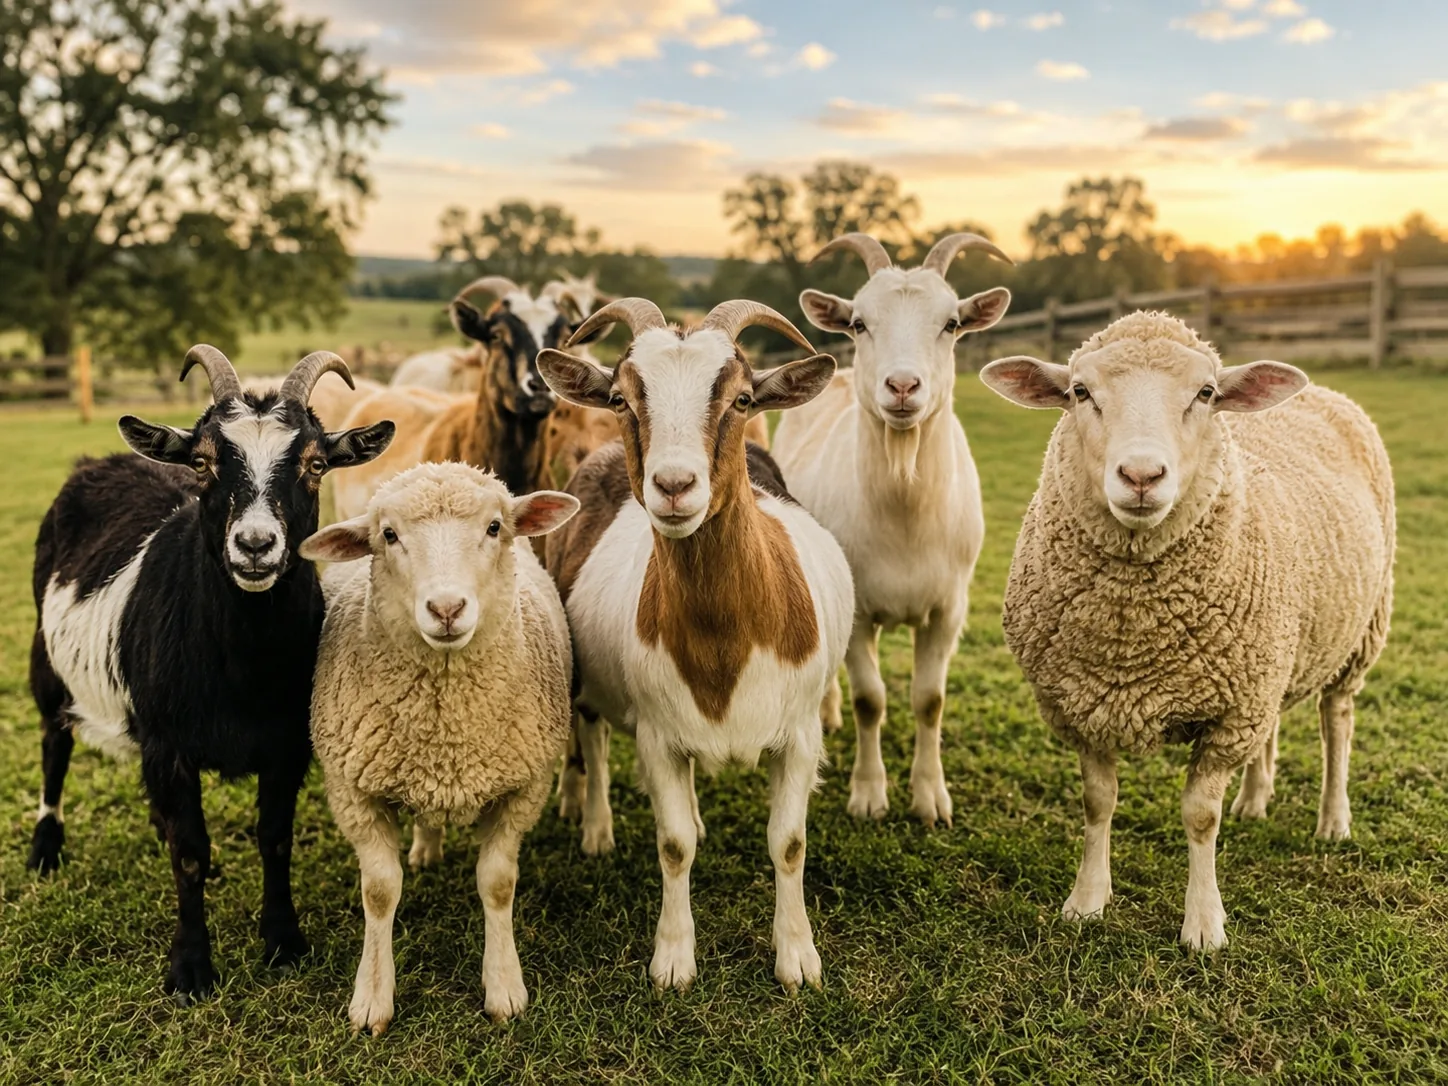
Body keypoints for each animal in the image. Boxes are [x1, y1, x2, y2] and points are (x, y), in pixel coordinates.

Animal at [28, 346, 395, 999]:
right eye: (202, 461)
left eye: (316, 464)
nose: (255, 545)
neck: (241, 668)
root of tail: (95, 463)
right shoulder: (170, 745)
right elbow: (191, 854)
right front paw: (191, 968)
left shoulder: (286, 744)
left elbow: (274, 837)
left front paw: (283, 941)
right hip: (45, 655)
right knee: (54, 739)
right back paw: (46, 846)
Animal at [299, 462, 578, 1032]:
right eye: (388, 535)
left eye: (494, 527)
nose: (446, 608)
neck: (445, 724)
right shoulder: (352, 791)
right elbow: (380, 891)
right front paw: (372, 998)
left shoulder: (525, 787)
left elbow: (497, 883)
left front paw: (504, 987)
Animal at [539, 298, 854, 992]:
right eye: (622, 399)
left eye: (742, 399)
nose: (675, 486)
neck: (724, 643)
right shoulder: (659, 736)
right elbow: (674, 843)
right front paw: (674, 958)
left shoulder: (800, 733)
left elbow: (788, 842)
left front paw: (797, 958)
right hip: (584, 678)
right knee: (592, 738)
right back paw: (595, 827)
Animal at [771, 232, 1012, 827]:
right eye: (859, 323)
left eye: (952, 322)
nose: (902, 386)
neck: (904, 516)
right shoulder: (859, 610)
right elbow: (870, 699)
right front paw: (868, 794)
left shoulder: (949, 609)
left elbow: (929, 700)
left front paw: (930, 798)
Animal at [979, 311, 1395, 950]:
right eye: (1080, 391)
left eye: (1205, 393)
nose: (1141, 475)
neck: (1134, 632)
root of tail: (1324, 390)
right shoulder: (1082, 705)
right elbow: (1097, 802)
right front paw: (1087, 901)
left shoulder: (1228, 715)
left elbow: (1200, 817)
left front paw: (1203, 924)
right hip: (1270, 659)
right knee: (1274, 725)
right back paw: (1254, 799)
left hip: (1357, 637)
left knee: (1337, 723)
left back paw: (1333, 819)